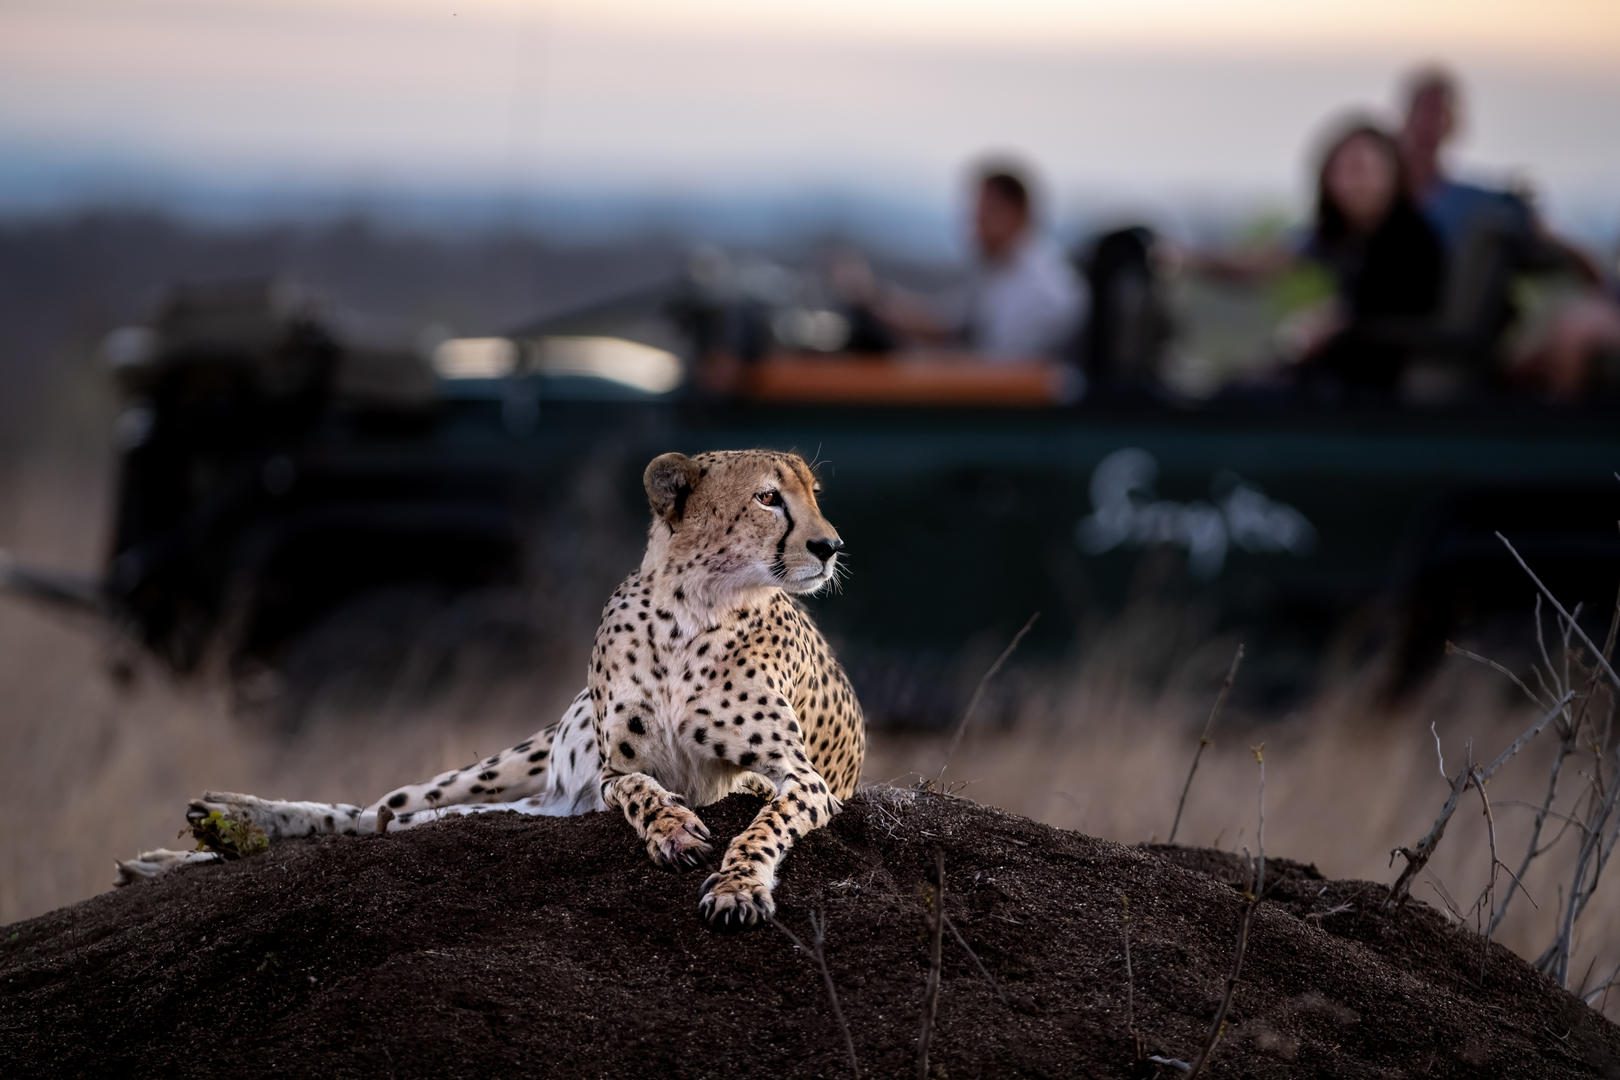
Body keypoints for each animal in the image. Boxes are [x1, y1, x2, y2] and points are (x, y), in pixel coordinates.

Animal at [119, 449, 866, 930]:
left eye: (815, 495)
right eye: (769, 498)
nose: (830, 545)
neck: (693, 608)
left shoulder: (798, 778)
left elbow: (761, 824)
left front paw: (738, 889)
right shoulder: (615, 768)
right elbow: (637, 788)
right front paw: (673, 827)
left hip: (542, 804)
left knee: (398, 822)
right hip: (515, 770)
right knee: (377, 813)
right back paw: (221, 828)